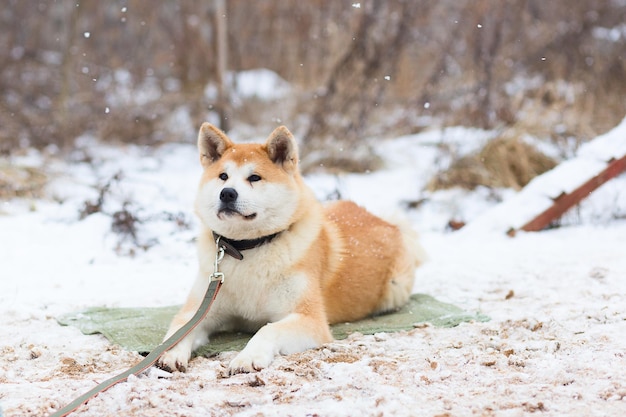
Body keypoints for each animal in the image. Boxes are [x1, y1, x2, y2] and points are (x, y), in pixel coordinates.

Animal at [156, 122, 424, 374]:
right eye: (223, 176)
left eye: (254, 178)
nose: (227, 193)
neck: (248, 249)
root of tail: (384, 221)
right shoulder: (201, 309)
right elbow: (179, 330)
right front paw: (171, 353)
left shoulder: (310, 319)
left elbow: (267, 329)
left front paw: (247, 357)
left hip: (395, 288)